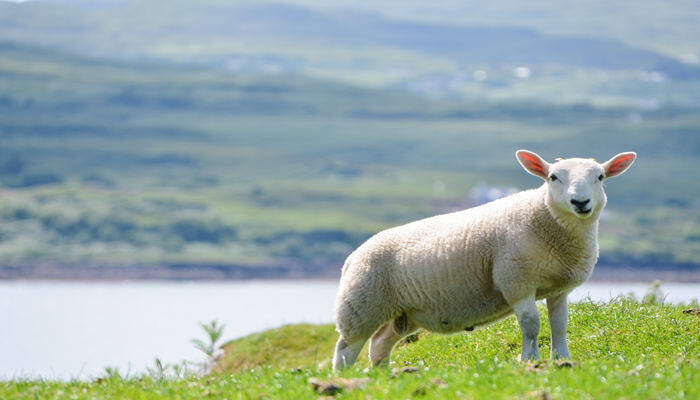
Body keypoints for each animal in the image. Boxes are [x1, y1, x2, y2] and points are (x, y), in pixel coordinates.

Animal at [332, 150, 636, 372]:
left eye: (600, 176)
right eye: (553, 177)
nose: (580, 202)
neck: (547, 223)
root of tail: (352, 256)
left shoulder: (559, 289)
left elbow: (560, 325)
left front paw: (562, 360)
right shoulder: (516, 281)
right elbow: (531, 325)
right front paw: (529, 361)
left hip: (402, 313)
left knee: (380, 344)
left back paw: (383, 375)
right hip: (362, 304)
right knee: (345, 349)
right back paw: (343, 377)